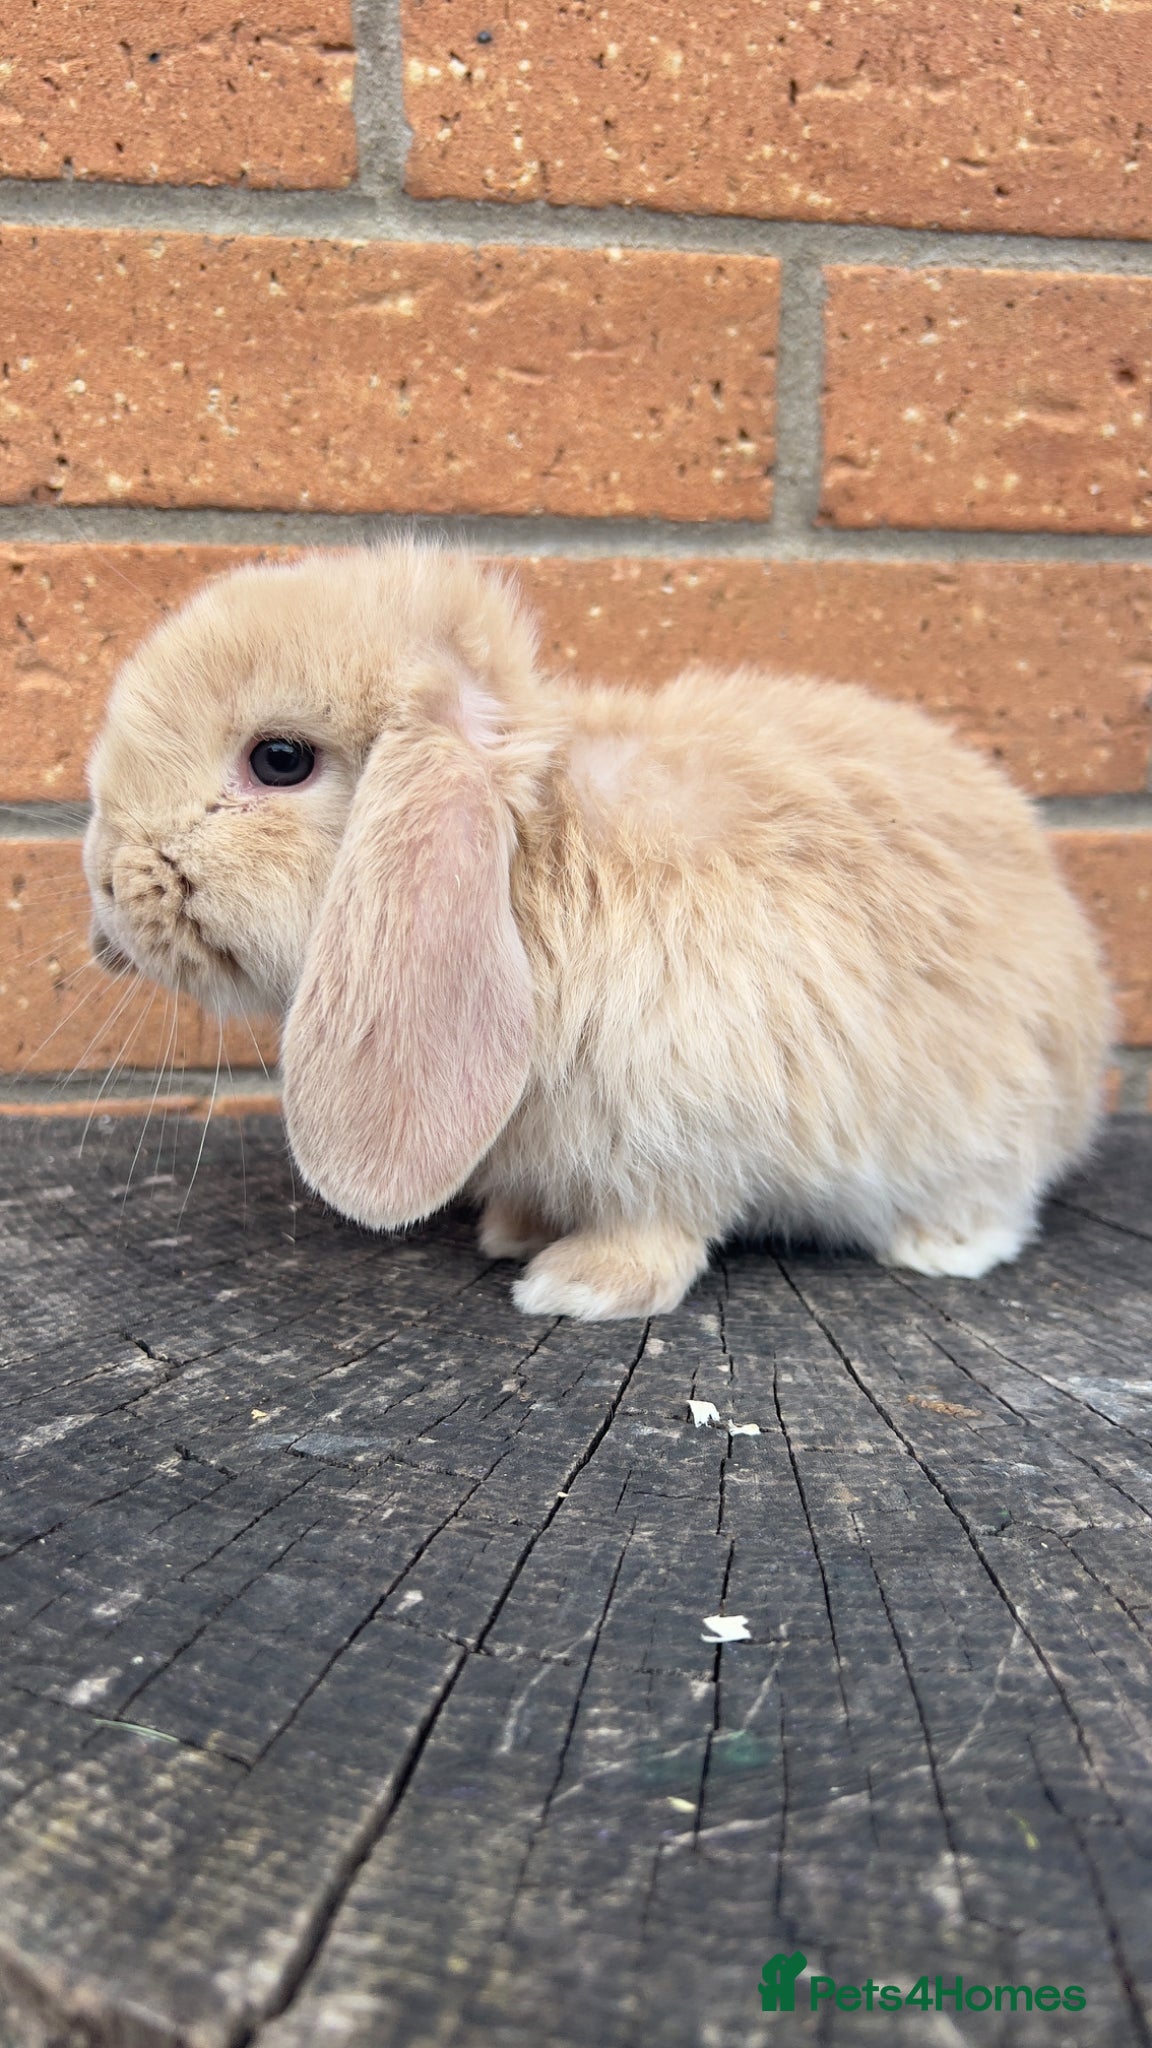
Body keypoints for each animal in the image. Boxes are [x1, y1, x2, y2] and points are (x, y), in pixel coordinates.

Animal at [84, 542, 1111, 1319]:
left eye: (279, 759)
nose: (104, 879)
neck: (527, 858)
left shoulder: (680, 1126)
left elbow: (656, 1227)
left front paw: (574, 1288)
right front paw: (514, 1234)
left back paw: (942, 1247)